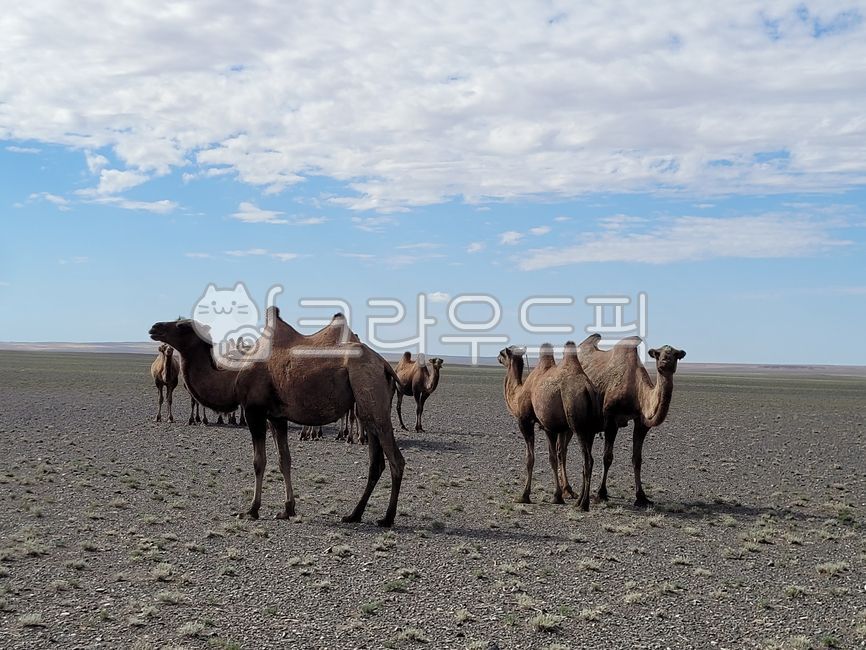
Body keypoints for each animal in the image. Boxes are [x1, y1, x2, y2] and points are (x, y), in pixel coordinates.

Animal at [148, 310, 405, 526]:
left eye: (182, 326)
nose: (154, 327)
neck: (233, 377)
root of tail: (384, 364)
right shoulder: (276, 417)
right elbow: (284, 460)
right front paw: (287, 509)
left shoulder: (254, 412)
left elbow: (258, 461)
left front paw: (251, 510)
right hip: (366, 408)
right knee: (376, 462)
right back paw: (354, 514)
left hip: (371, 394)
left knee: (396, 459)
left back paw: (387, 518)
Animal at [498, 342, 601, 509]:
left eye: (503, 353)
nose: (498, 357)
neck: (518, 395)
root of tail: (588, 389)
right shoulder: (555, 428)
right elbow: (557, 457)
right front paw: (560, 494)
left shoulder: (527, 422)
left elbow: (533, 458)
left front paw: (525, 496)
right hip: (590, 427)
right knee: (587, 460)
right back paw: (579, 500)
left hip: (578, 425)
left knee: (587, 459)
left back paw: (583, 504)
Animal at [577, 334, 686, 507]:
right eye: (658, 354)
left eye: (676, 354)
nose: (665, 362)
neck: (637, 391)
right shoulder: (611, 419)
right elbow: (607, 457)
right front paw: (601, 493)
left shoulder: (641, 423)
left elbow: (637, 459)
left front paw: (641, 497)